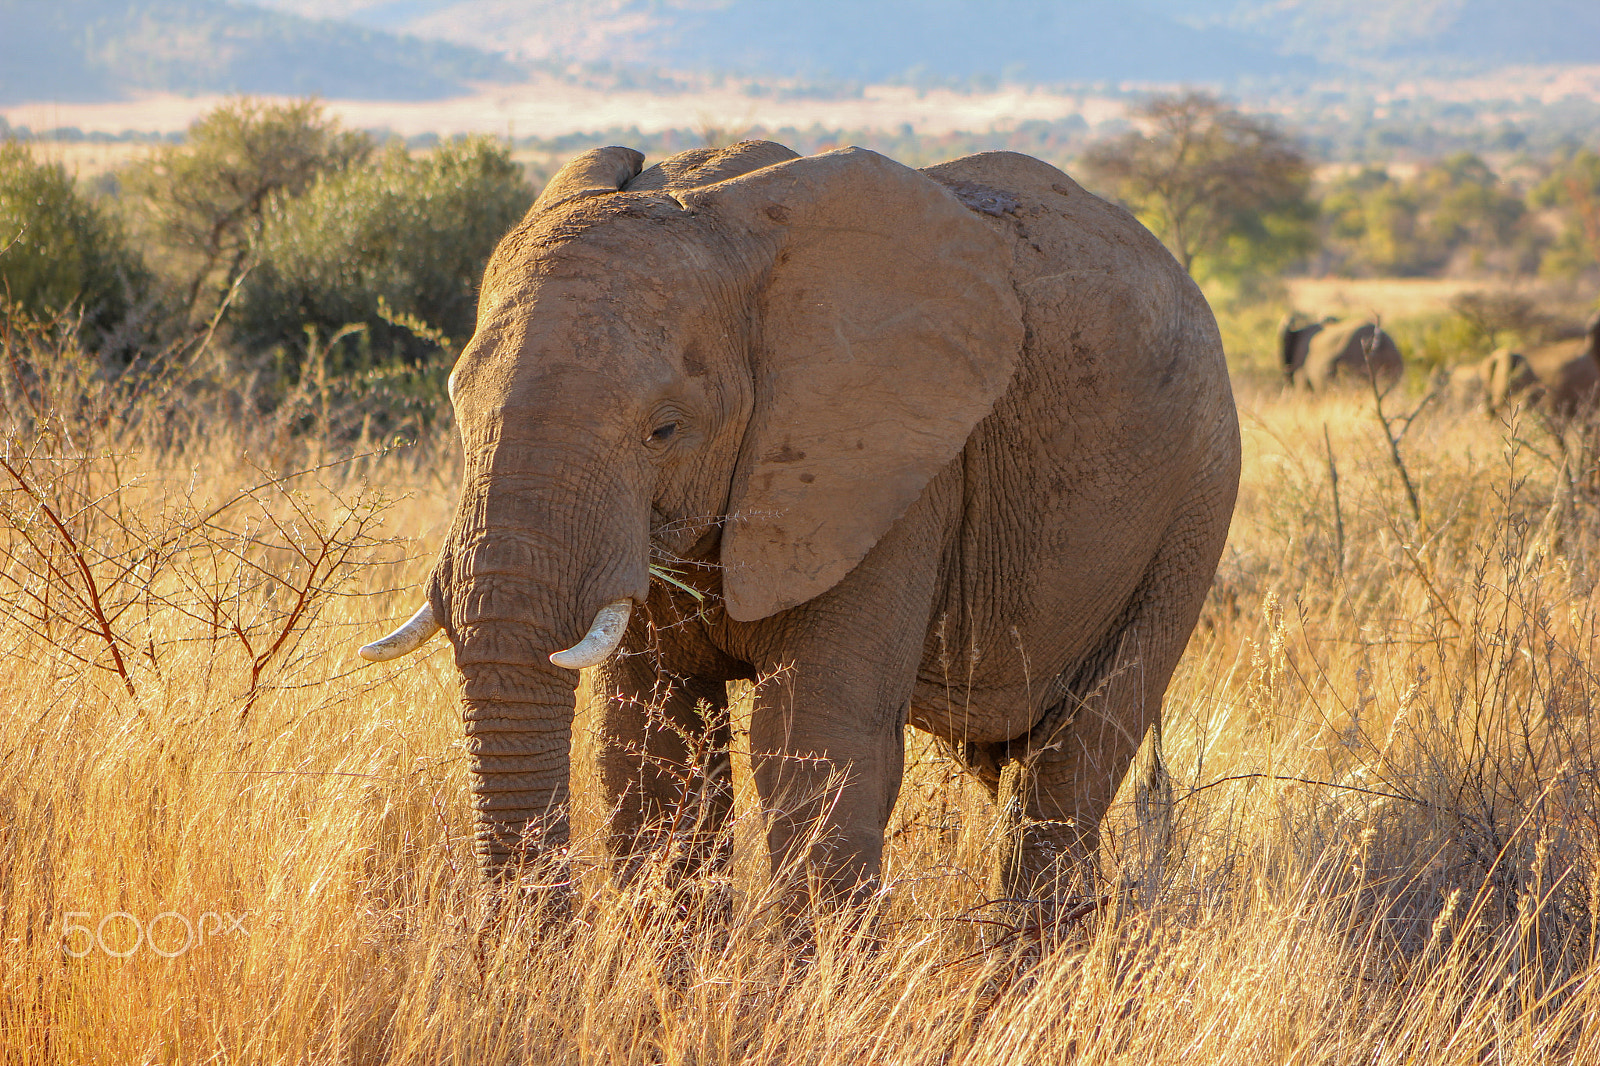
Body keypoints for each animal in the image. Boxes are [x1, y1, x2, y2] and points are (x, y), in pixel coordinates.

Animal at [359, 139, 1241, 908]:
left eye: (664, 430)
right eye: (456, 405)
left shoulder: (893, 472)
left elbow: (813, 746)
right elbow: (651, 751)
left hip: (1189, 511)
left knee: (1068, 770)